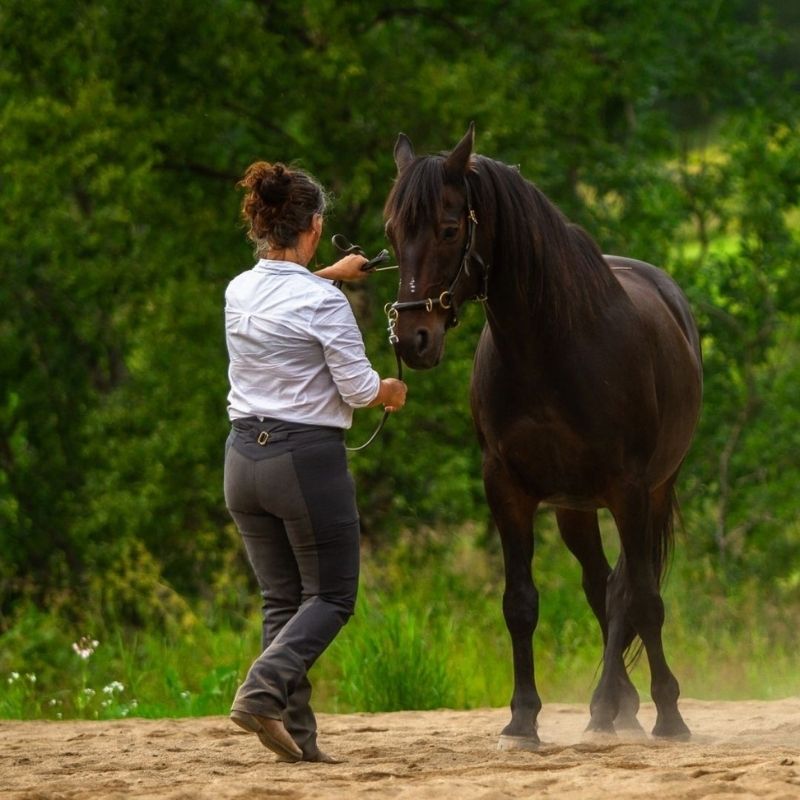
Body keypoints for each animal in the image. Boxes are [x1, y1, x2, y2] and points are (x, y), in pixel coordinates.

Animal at [384, 122, 704, 748]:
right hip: (574, 509)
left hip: (650, 492)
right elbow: (521, 603)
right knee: (602, 588)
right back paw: (611, 708)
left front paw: (671, 716)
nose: (413, 338)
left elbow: (645, 598)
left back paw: (632, 706)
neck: (551, 350)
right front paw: (522, 719)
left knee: (629, 592)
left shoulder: (630, 490)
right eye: (392, 231)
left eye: (450, 228)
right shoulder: (508, 489)